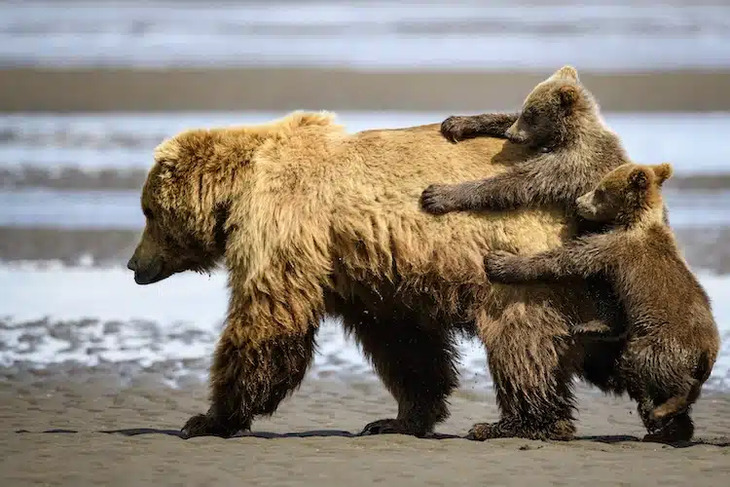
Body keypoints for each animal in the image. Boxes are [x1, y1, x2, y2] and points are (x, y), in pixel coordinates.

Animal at [128, 112, 616, 440]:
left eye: (147, 211)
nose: (134, 265)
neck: (239, 189)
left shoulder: (283, 224)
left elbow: (266, 318)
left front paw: (208, 418)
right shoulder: (371, 274)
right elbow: (404, 344)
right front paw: (398, 418)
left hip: (516, 257)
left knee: (520, 338)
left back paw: (521, 421)